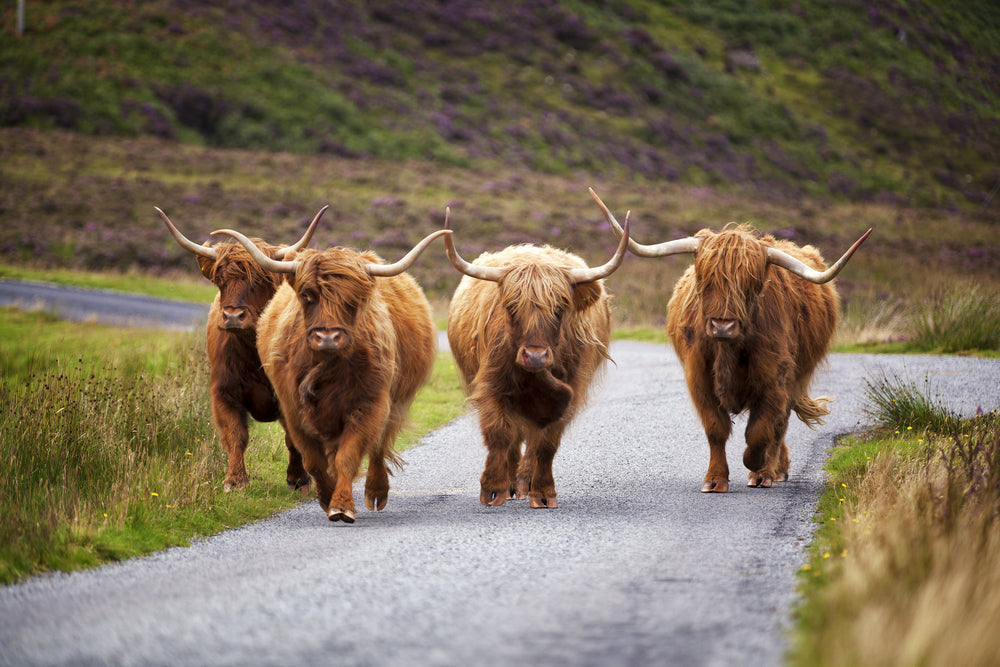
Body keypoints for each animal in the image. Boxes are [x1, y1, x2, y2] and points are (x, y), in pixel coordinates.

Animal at [157, 205, 327, 492]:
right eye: (220, 280)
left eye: (259, 280)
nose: (233, 316)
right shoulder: (223, 392)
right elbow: (235, 434)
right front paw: (235, 480)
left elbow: (294, 438)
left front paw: (299, 479)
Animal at [212, 224, 449, 523]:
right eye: (307, 296)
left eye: (352, 300)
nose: (327, 337)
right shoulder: (293, 409)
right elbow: (313, 459)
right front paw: (325, 496)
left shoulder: (368, 405)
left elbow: (349, 455)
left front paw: (342, 505)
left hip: (391, 402)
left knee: (378, 446)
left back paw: (376, 491)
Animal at [443, 202, 629, 508]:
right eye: (511, 306)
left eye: (560, 307)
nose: (536, 356)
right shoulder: (491, 385)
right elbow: (499, 433)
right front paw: (493, 488)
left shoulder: (569, 393)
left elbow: (546, 444)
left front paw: (542, 491)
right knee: (513, 436)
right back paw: (511, 483)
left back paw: (524, 482)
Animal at [591, 187, 871, 493]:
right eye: (705, 279)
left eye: (751, 284)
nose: (722, 325)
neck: (728, 351)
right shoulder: (699, 378)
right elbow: (716, 428)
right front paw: (715, 479)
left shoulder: (775, 378)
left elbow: (760, 431)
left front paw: (757, 467)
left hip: (798, 374)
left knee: (779, 424)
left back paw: (772, 470)